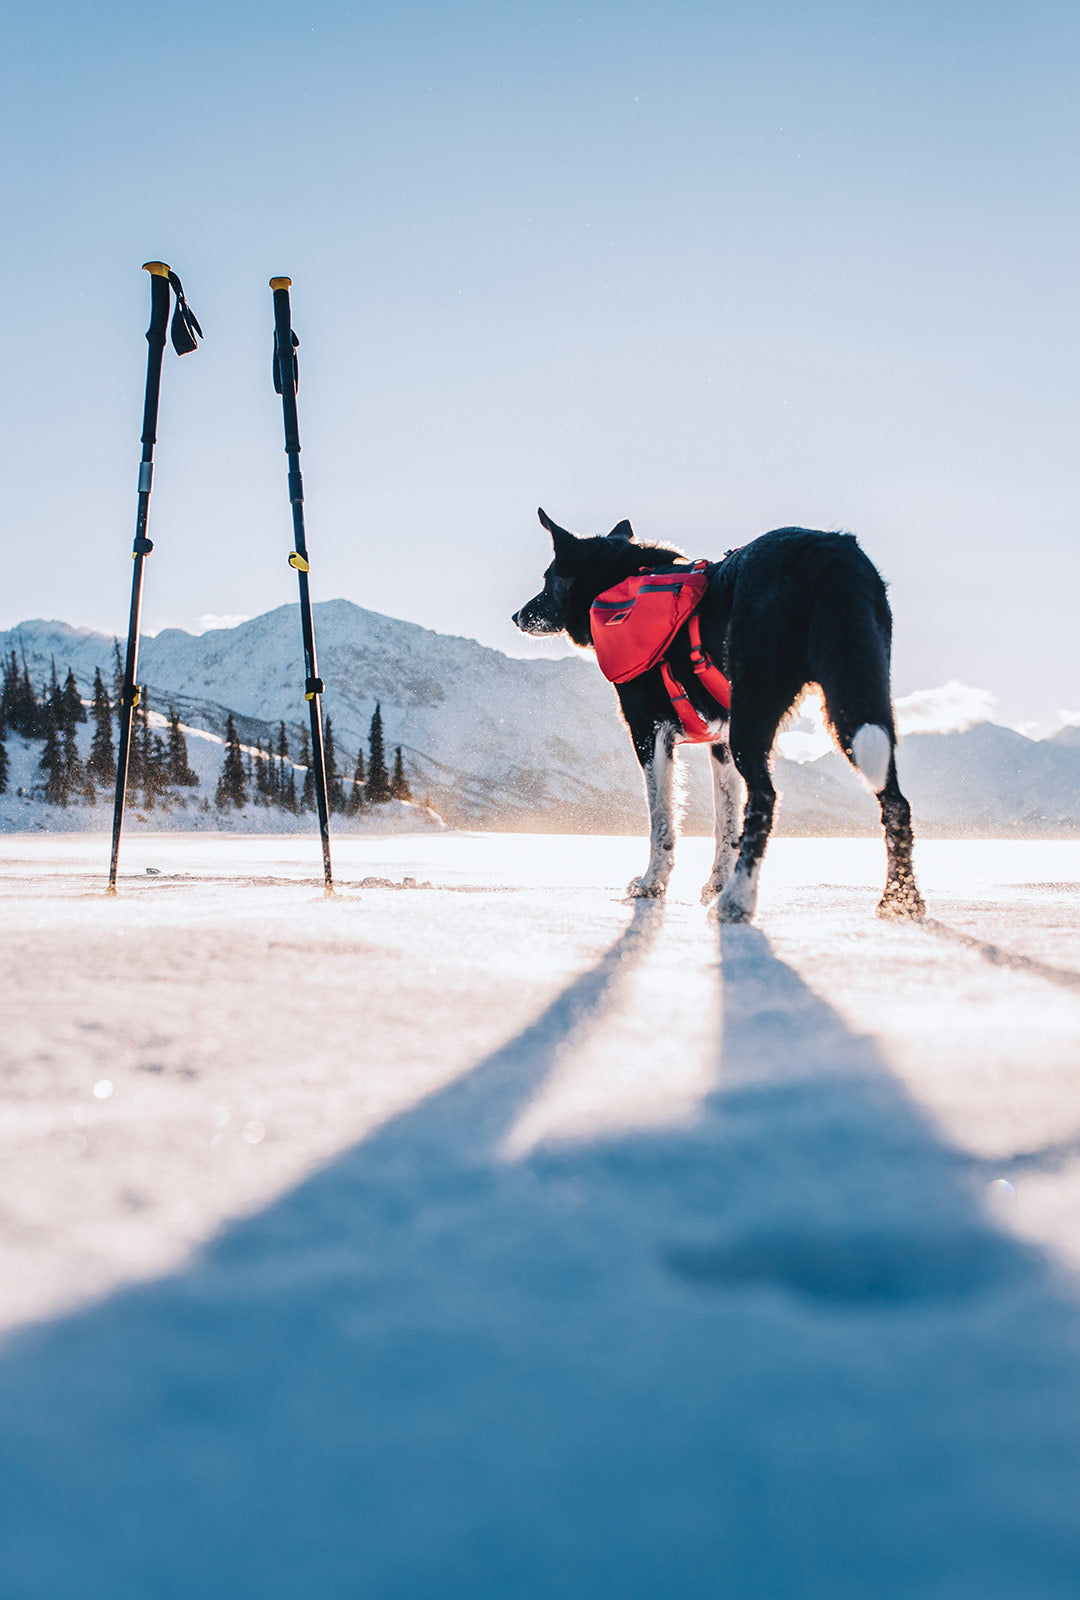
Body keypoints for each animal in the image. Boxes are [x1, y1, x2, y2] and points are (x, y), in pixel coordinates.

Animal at [512, 505, 928, 921]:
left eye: (548, 579)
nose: (518, 615)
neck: (618, 583)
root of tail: (826, 552)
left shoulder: (648, 729)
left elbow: (661, 819)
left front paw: (653, 884)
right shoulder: (721, 742)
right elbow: (725, 824)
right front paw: (714, 882)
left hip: (756, 709)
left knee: (764, 800)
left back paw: (738, 899)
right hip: (857, 700)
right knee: (896, 802)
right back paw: (900, 899)